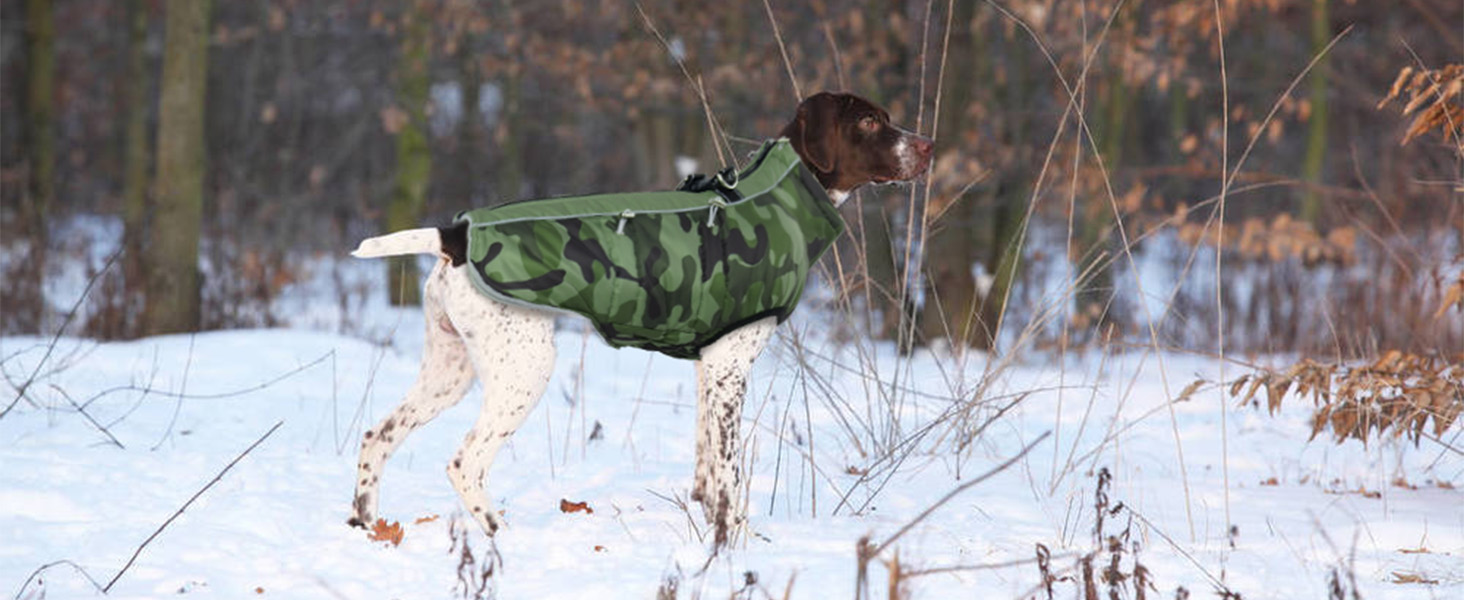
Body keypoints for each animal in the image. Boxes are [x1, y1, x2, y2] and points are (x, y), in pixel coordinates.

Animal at [348, 91, 931, 547]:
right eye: (869, 122)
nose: (926, 146)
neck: (778, 197)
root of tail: (456, 235)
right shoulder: (730, 367)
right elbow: (730, 475)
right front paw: (737, 544)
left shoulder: (709, 368)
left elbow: (707, 474)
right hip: (524, 370)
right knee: (464, 462)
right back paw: (497, 536)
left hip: (450, 370)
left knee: (377, 435)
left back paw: (367, 525)